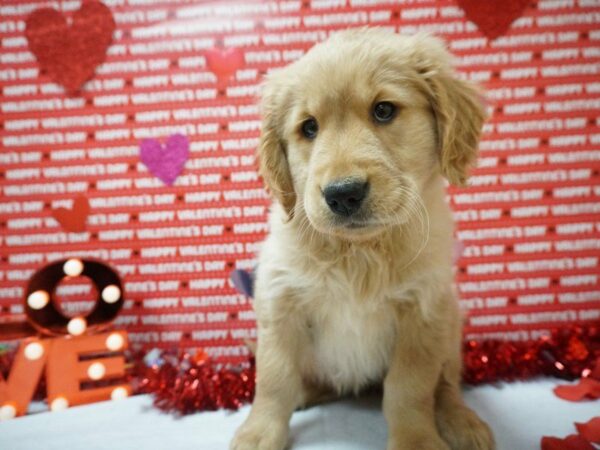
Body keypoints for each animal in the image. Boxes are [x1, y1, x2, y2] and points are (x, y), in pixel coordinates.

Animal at [230, 28, 492, 450]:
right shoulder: (280, 304)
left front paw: (416, 440)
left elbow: (410, 389)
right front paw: (259, 433)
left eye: (384, 110)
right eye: (309, 128)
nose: (343, 193)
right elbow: (273, 379)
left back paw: (462, 421)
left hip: (451, 321)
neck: (359, 252)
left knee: (447, 385)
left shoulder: (422, 313)